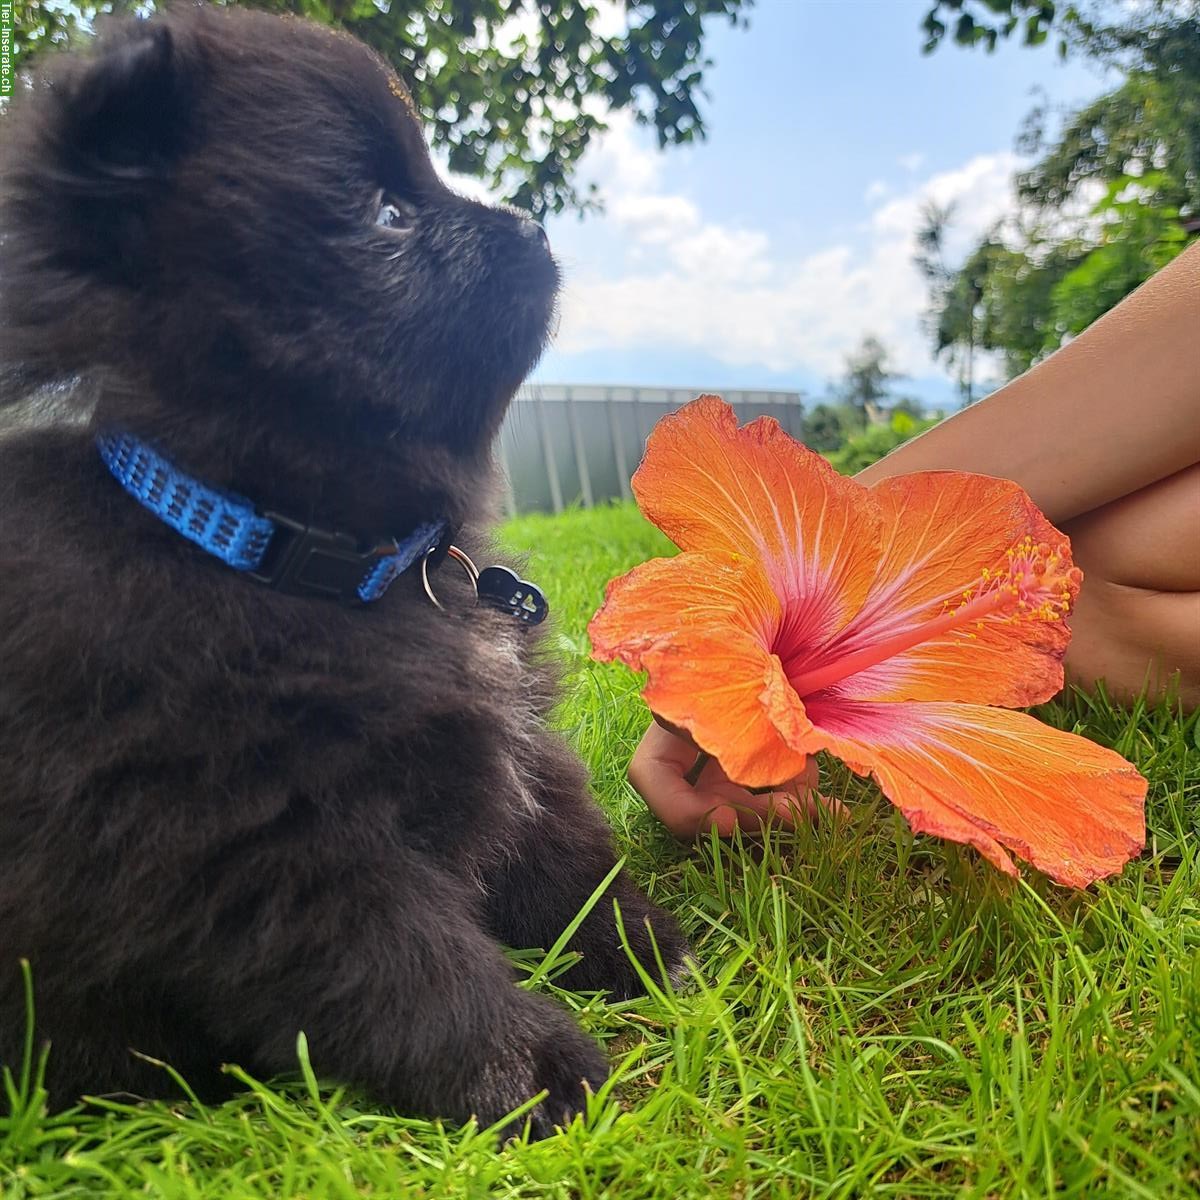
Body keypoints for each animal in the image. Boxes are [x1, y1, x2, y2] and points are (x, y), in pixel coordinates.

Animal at [0, 7, 691, 1132]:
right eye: (386, 213)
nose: (534, 229)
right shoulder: (272, 847)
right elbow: (416, 966)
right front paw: (536, 1075)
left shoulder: (513, 750)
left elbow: (564, 861)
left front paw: (643, 951)